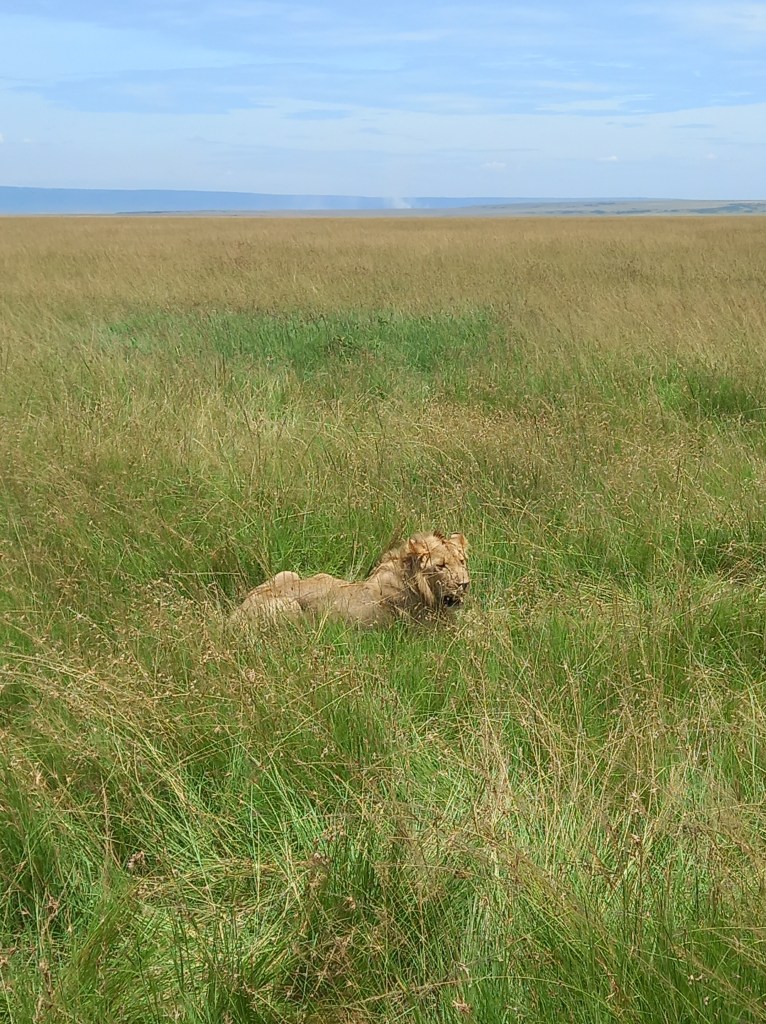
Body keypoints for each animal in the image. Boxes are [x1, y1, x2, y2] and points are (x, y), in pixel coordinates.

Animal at [231, 531, 469, 628]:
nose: (464, 584)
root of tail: (234, 614)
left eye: (462, 561)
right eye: (441, 566)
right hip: (289, 606)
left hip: (288, 573)